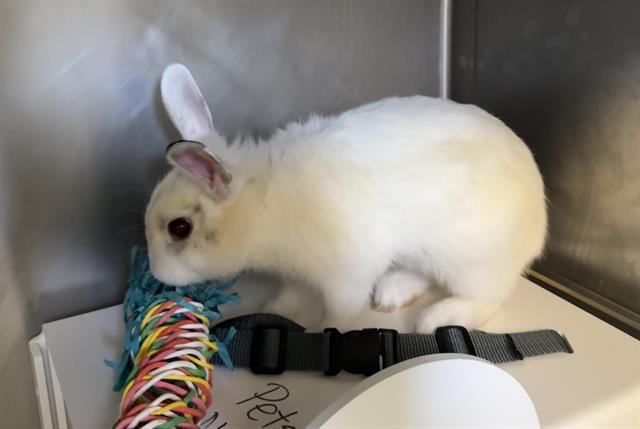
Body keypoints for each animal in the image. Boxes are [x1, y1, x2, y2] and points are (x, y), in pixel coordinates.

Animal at [145, 63, 547, 333]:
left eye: (180, 228)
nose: (157, 274)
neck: (263, 202)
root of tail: (538, 223)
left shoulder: (347, 274)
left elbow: (342, 309)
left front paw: (322, 331)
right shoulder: (298, 274)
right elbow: (293, 295)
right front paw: (280, 311)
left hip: (473, 263)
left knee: (486, 299)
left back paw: (436, 319)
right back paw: (391, 293)